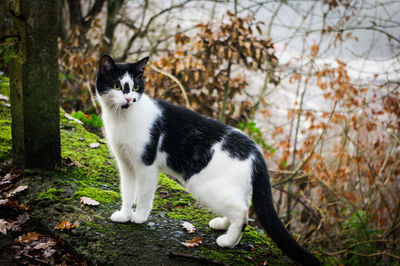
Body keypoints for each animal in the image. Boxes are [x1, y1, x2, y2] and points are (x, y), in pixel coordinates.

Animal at [95, 55, 320, 264]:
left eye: (135, 87)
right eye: (117, 86)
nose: (128, 100)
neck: (120, 118)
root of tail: (256, 151)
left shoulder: (146, 166)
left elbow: (142, 196)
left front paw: (139, 217)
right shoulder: (125, 164)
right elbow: (127, 192)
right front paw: (124, 215)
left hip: (204, 185)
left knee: (242, 212)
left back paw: (228, 241)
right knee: (241, 204)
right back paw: (222, 224)